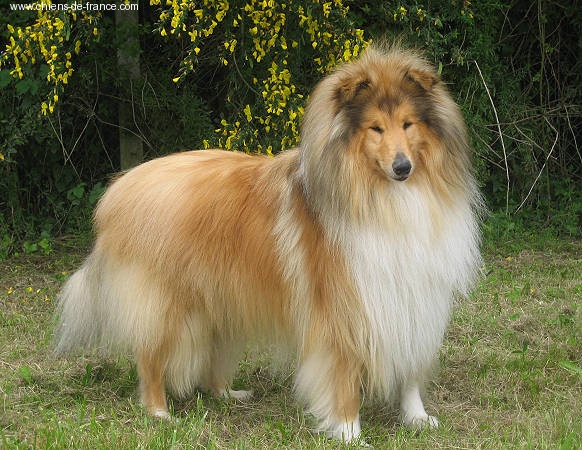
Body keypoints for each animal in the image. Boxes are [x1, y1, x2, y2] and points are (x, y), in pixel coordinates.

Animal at [55, 44, 482, 442]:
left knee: (211, 358)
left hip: (219, 299)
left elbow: (410, 366)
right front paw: (348, 431)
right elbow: (343, 374)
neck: (384, 197)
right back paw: (158, 412)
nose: (402, 167)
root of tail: (119, 190)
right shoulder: (343, 306)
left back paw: (228, 394)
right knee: (149, 357)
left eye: (408, 124)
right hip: (167, 305)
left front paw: (416, 418)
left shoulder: (412, 295)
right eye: (375, 128)